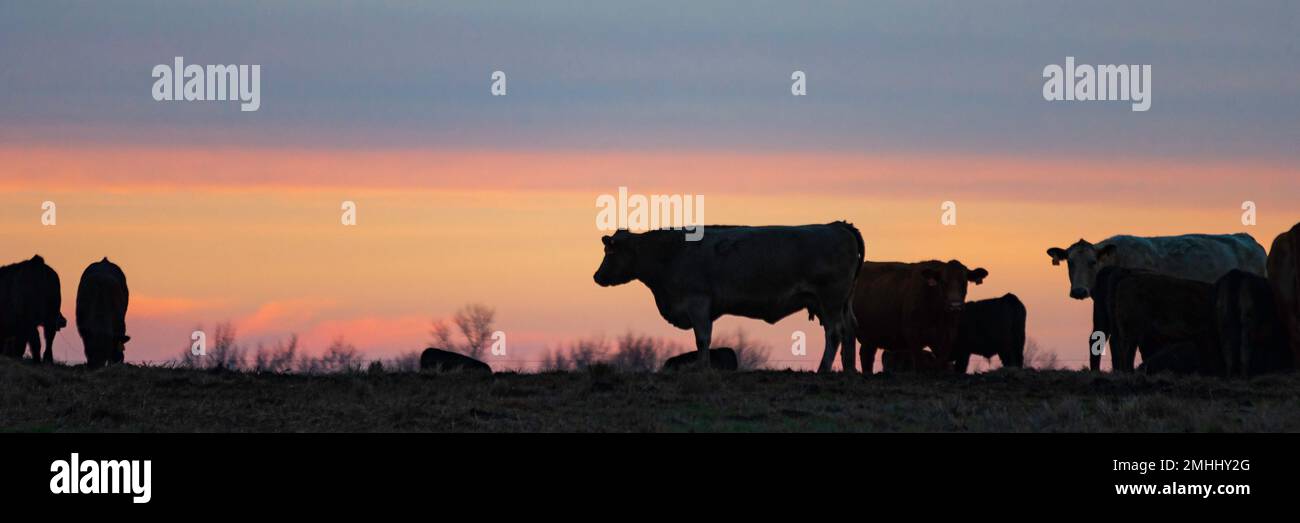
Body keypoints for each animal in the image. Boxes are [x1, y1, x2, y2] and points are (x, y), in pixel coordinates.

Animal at [595, 221, 863, 372]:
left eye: (610, 251)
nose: (597, 276)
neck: (672, 252)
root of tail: (836, 225)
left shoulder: (698, 302)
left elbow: (702, 339)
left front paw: (701, 368)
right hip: (840, 303)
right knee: (849, 330)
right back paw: (849, 370)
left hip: (831, 300)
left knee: (834, 333)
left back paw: (823, 368)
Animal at [852, 258, 982, 374]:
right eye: (943, 282)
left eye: (964, 282)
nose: (955, 306)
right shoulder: (913, 335)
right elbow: (920, 365)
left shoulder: (947, 337)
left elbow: (941, 363)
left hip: (871, 336)